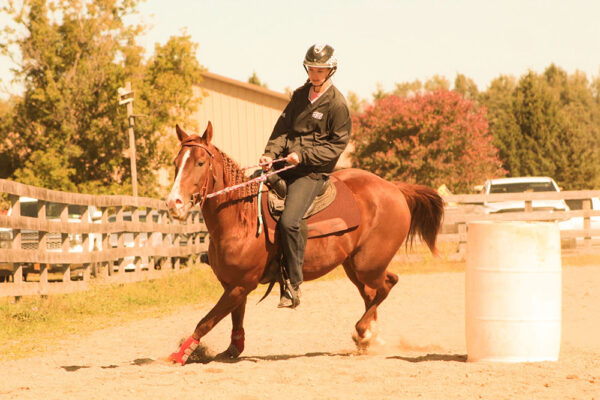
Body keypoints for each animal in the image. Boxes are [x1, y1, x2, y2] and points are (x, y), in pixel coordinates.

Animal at [164, 122, 446, 366]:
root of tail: (394, 188)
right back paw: (369, 338)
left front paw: (180, 354)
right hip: (353, 266)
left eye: (200, 162)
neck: (241, 218)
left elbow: (206, 321)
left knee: (387, 284)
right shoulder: (232, 285)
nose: (173, 203)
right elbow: (235, 319)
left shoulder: (241, 285)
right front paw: (232, 349)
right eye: (176, 163)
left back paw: (362, 332)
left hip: (368, 264)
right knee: (371, 293)